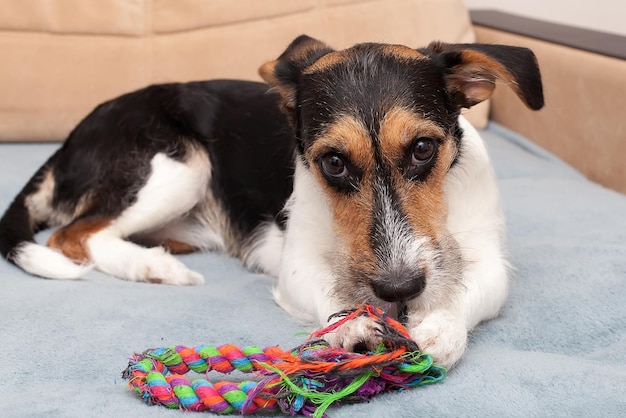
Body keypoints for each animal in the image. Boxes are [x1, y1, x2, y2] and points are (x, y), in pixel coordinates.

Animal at [0, 36, 540, 370]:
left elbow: (464, 295)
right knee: (74, 235)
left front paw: (438, 331)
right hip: (178, 163)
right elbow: (329, 293)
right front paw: (350, 326)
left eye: (424, 149)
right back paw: (155, 267)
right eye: (333, 163)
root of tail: (68, 142)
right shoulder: (296, 264)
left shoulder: (493, 264)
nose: (399, 288)